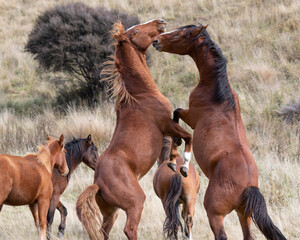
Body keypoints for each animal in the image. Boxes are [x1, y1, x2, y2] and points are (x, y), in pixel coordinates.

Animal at [75, 18, 192, 240]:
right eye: (136, 31)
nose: (160, 22)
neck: (140, 95)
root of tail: (98, 183)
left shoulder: (167, 129)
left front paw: (173, 160)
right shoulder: (166, 124)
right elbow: (188, 136)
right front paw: (181, 166)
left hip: (111, 212)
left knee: (104, 232)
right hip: (135, 203)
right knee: (129, 228)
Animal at [154, 24, 288, 240]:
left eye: (182, 34)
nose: (156, 41)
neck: (218, 94)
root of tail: (248, 187)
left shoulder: (191, 117)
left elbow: (176, 117)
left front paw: (179, 162)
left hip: (215, 214)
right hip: (244, 215)